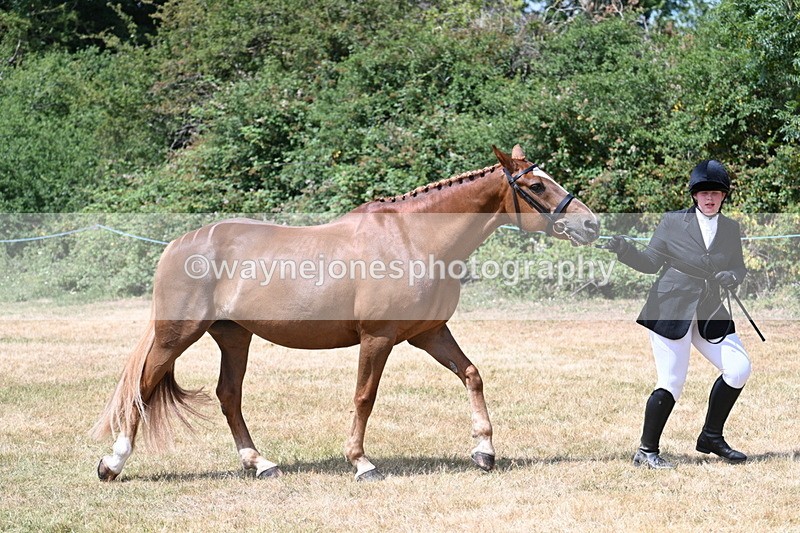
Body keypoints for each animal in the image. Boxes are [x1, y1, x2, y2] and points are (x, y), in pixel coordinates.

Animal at [91, 144, 599, 481]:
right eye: (536, 184)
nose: (591, 223)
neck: (415, 240)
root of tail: (179, 244)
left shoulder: (429, 333)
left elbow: (472, 375)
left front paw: (484, 451)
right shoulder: (379, 338)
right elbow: (364, 397)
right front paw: (361, 462)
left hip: (234, 336)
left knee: (228, 396)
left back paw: (260, 463)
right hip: (178, 335)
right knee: (143, 388)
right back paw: (112, 464)